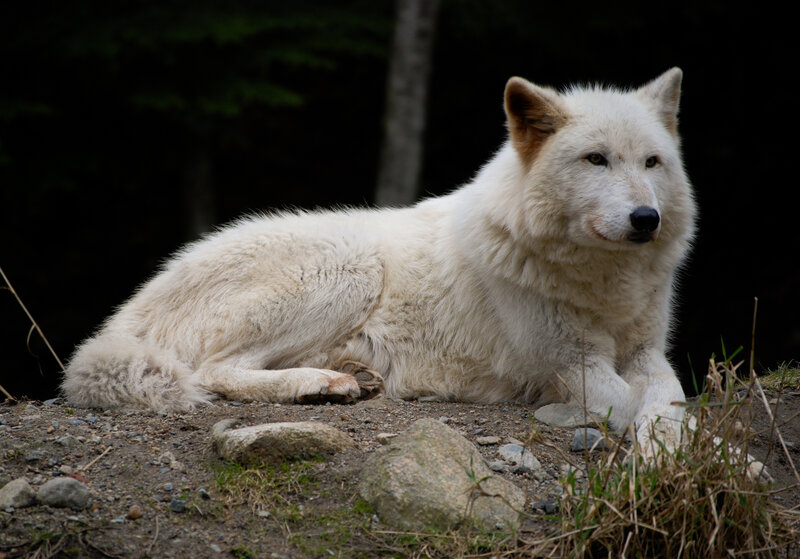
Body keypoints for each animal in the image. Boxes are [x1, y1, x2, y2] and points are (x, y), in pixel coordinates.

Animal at [63, 69, 695, 453]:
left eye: (652, 162)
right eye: (596, 160)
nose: (646, 218)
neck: (603, 279)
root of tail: (138, 303)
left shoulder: (645, 352)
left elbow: (669, 399)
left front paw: (677, 447)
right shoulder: (572, 367)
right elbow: (638, 402)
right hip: (351, 267)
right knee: (211, 371)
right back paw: (322, 384)